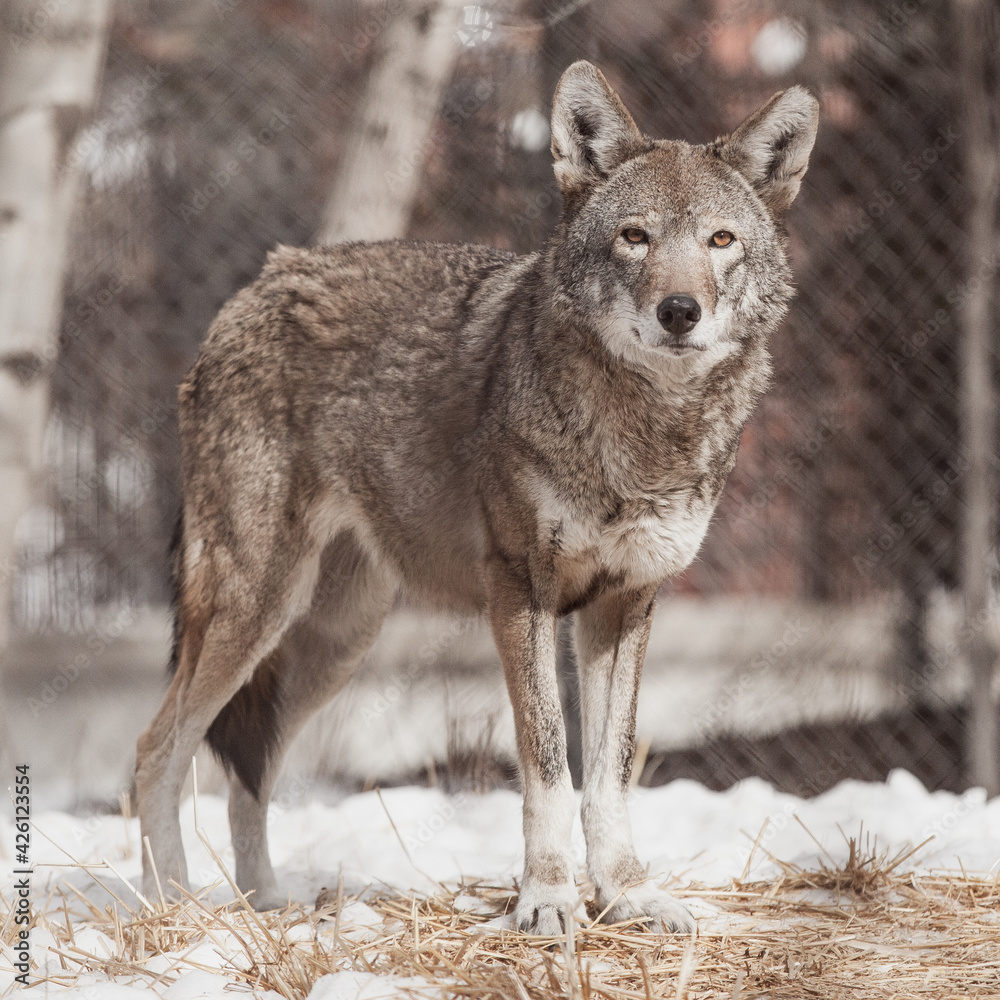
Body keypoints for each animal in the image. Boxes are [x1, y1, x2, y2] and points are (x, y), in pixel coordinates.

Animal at [135, 61, 817, 935]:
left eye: (720, 242)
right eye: (635, 237)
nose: (679, 311)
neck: (643, 434)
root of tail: (257, 282)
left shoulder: (625, 602)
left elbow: (610, 774)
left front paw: (626, 895)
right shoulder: (519, 592)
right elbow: (549, 767)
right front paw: (551, 899)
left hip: (333, 641)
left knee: (248, 774)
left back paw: (267, 907)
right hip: (255, 609)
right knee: (157, 752)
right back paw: (170, 908)